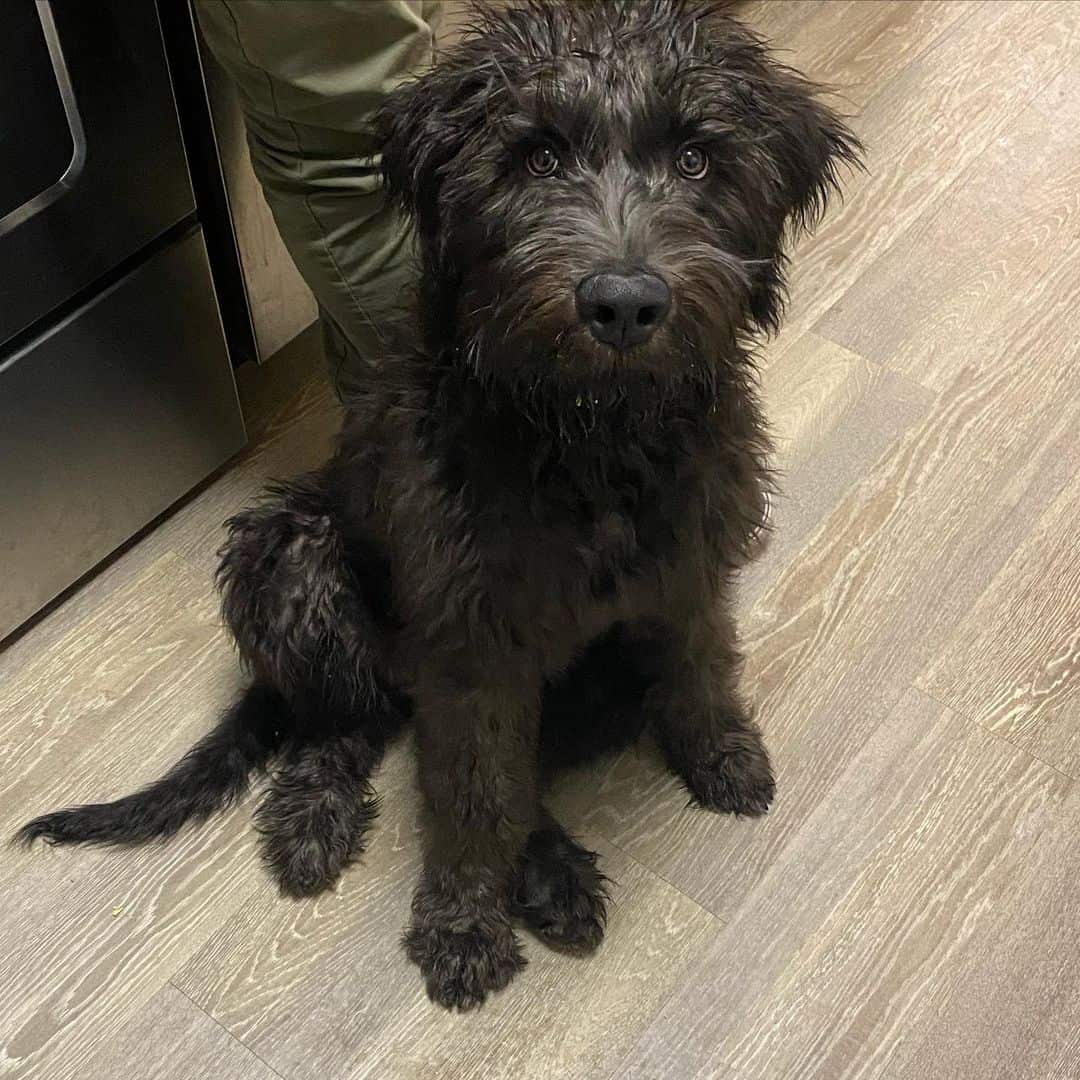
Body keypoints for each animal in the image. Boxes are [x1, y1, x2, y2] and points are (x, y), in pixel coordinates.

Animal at [14, 2, 859, 1010]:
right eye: (538, 158)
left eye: (696, 159)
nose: (622, 303)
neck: (592, 435)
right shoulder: (471, 640)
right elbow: (472, 795)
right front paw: (460, 926)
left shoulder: (690, 568)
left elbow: (699, 669)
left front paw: (722, 752)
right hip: (292, 556)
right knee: (349, 726)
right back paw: (323, 825)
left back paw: (550, 870)